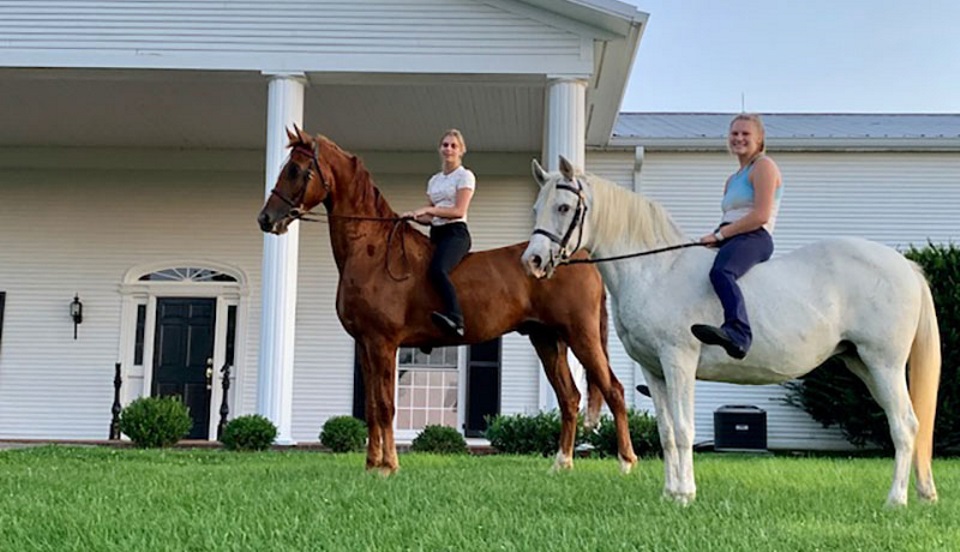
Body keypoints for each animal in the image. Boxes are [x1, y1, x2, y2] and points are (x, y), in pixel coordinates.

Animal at [258, 127, 632, 472]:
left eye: (295, 169)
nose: (266, 218)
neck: (372, 250)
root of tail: (573, 258)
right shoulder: (365, 344)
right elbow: (372, 407)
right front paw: (372, 464)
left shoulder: (383, 343)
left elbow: (386, 405)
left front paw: (389, 465)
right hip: (547, 339)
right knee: (570, 398)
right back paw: (562, 464)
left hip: (580, 335)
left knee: (613, 389)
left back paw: (626, 462)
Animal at [520, 157, 940, 506]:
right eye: (537, 207)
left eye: (563, 207)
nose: (533, 261)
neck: (657, 270)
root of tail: (905, 266)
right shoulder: (654, 371)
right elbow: (667, 433)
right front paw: (669, 494)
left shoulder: (679, 361)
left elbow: (685, 429)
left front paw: (685, 495)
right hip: (863, 365)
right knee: (908, 425)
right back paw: (922, 493)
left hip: (883, 364)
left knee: (904, 426)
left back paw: (896, 500)